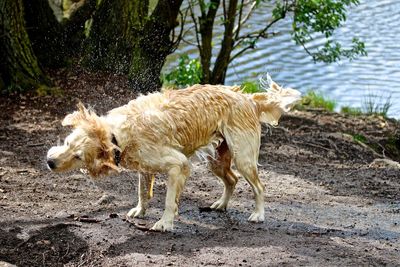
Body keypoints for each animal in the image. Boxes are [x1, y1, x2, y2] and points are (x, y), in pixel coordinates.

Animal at [46, 76, 300, 231]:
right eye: (67, 143)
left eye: (78, 156)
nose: (49, 162)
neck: (116, 134)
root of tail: (247, 98)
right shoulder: (144, 167)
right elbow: (142, 192)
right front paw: (140, 210)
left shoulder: (179, 164)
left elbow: (169, 200)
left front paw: (165, 222)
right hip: (218, 159)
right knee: (232, 179)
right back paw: (221, 204)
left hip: (243, 158)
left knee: (259, 186)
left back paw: (258, 214)